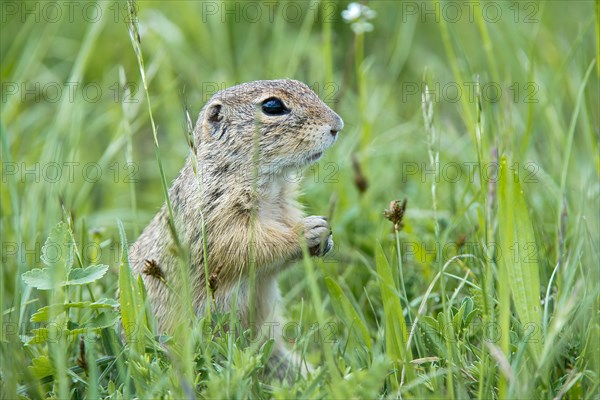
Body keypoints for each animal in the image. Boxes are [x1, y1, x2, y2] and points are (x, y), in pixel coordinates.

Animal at [127, 79, 342, 382]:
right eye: (272, 106)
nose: (337, 125)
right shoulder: (218, 215)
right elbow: (244, 246)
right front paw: (308, 230)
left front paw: (325, 238)